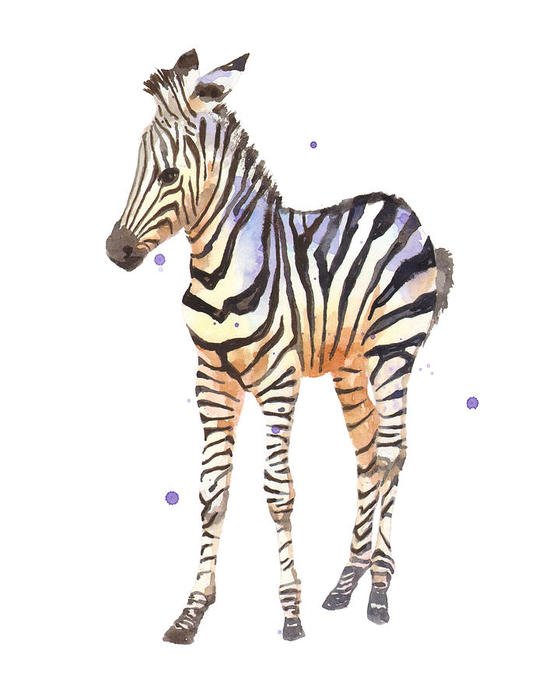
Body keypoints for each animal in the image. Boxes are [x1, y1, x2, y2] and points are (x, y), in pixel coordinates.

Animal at [106, 49, 453, 644]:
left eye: (169, 174)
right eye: (136, 166)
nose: (116, 249)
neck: (220, 267)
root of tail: (402, 207)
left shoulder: (276, 381)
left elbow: (277, 492)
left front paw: (291, 614)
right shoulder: (212, 381)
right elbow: (212, 492)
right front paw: (192, 611)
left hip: (394, 352)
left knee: (391, 454)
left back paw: (379, 593)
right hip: (351, 366)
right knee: (370, 455)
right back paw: (346, 584)